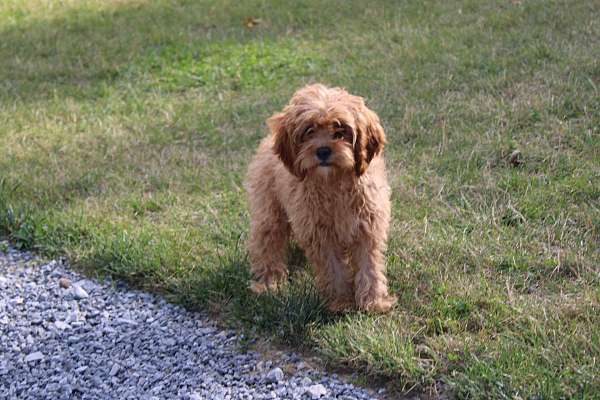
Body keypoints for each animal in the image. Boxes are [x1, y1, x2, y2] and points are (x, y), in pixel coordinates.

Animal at [246, 83, 396, 312]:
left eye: (340, 130)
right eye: (309, 131)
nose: (323, 151)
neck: (333, 183)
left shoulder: (367, 227)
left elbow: (368, 266)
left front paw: (373, 302)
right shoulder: (320, 233)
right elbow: (333, 269)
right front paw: (341, 301)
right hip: (269, 211)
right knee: (267, 242)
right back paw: (269, 282)